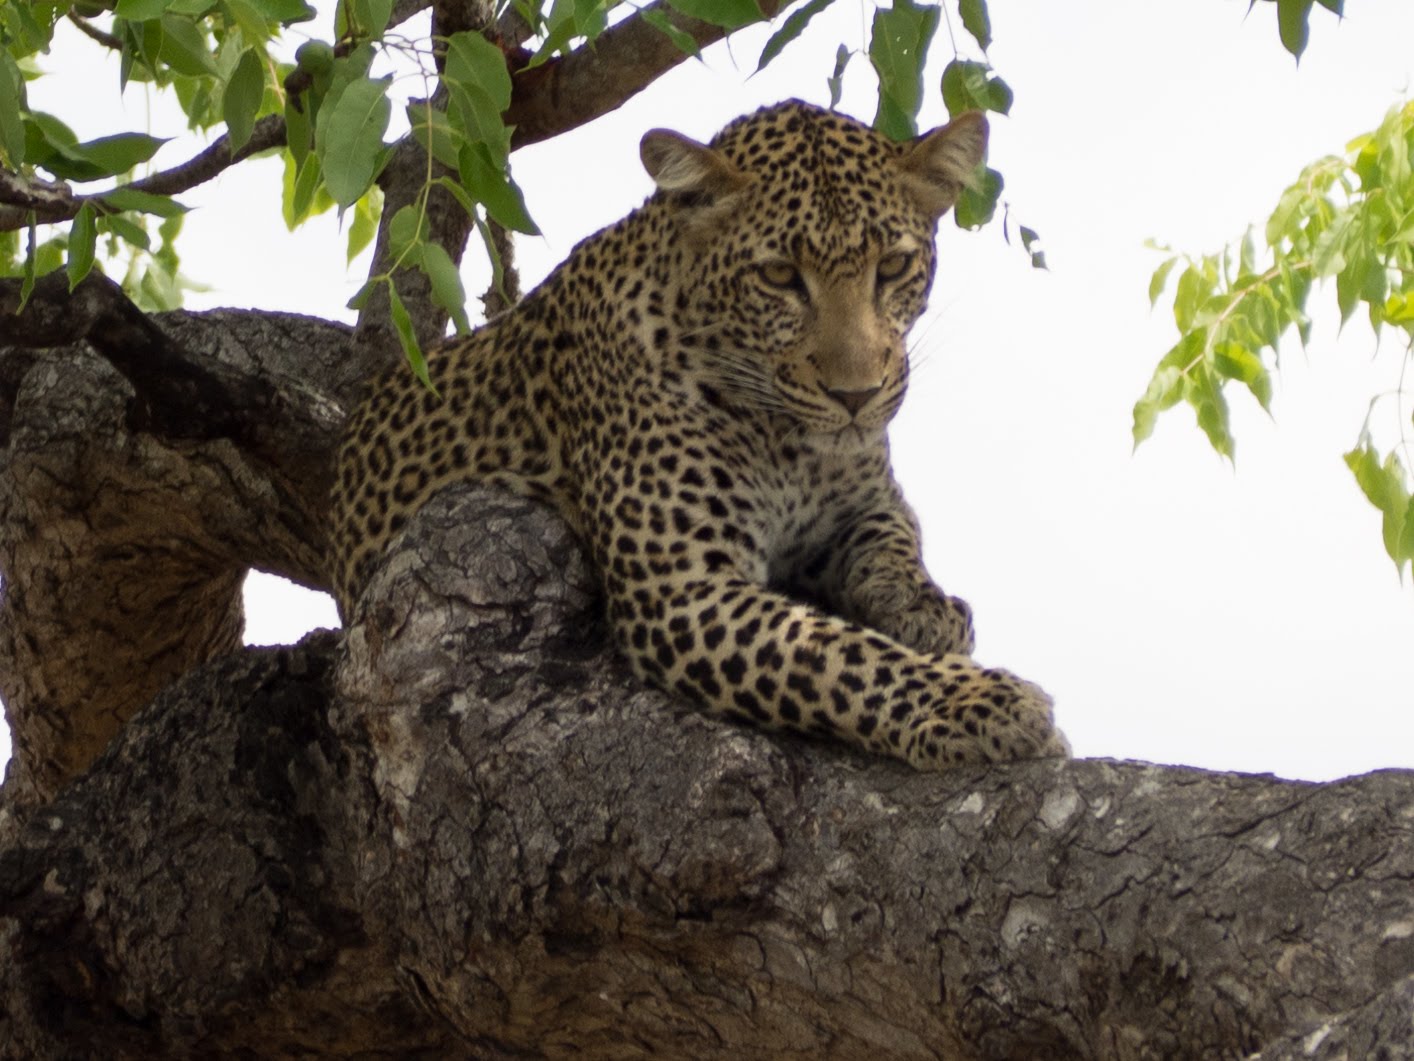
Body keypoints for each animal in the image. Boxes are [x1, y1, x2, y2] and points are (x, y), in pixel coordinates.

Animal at [325, 99, 1063, 769]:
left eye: (892, 267)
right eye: (779, 276)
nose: (854, 396)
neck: (786, 438)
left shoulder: (866, 495)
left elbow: (891, 537)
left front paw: (922, 603)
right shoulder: (681, 588)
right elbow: (838, 655)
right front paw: (982, 703)